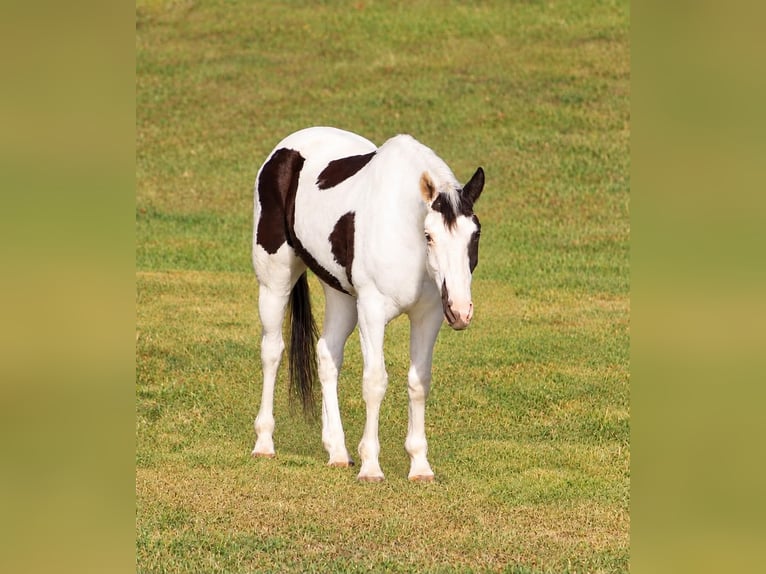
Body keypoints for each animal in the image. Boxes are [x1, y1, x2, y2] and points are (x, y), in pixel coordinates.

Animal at [250, 126, 484, 482]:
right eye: (429, 236)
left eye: (475, 234)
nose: (460, 311)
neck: (403, 228)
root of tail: (284, 151)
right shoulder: (372, 312)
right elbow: (375, 381)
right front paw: (371, 465)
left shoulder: (428, 316)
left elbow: (419, 382)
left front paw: (420, 466)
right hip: (274, 282)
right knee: (272, 351)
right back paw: (264, 442)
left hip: (342, 298)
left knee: (327, 354)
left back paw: (337, 450)